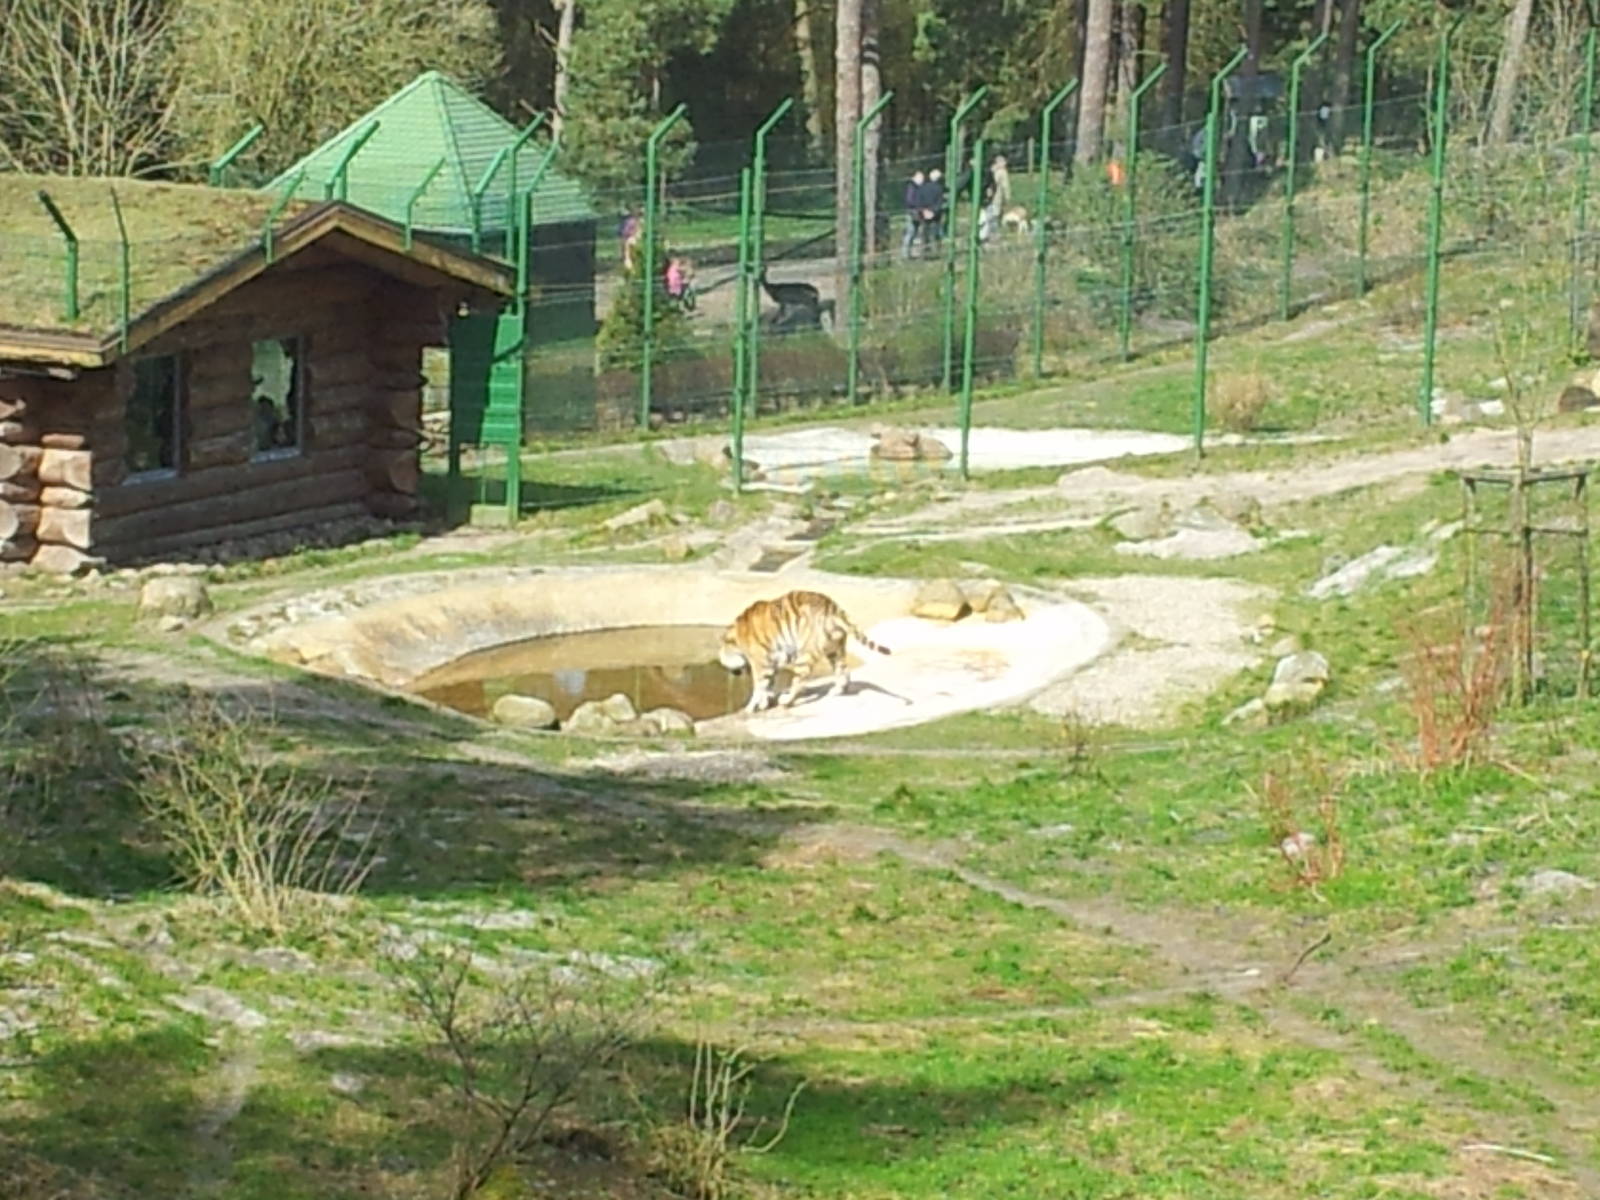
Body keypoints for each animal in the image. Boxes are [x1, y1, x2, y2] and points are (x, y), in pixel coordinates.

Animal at [719, 590, 891, 713]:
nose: (732, 672)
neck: (736, 636)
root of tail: (832, 607)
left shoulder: (761, 663)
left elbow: (759, 686)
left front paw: (750, 707)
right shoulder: (772, 662)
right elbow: (768, 685)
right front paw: (764, 703)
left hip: (805, 654)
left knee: (799, 682)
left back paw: (786, 701)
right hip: (835, 649)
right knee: (844, 671)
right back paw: (836, 691)